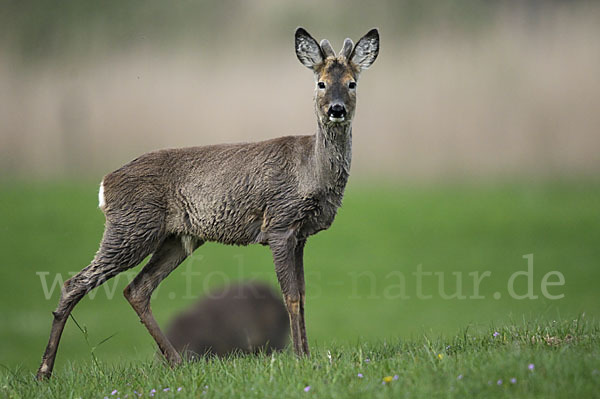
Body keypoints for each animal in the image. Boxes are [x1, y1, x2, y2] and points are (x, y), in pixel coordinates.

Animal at [36, 26, 380, 380]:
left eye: (352, 83)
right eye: (321, 82)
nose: (336, 109)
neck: (311, 170)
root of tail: (105, 185)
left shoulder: (300, 234)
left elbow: (302, 293)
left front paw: (307, 355)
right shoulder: (280, 223)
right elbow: (291, 294)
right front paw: (299, 358)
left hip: (176, 238)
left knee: (137, 289)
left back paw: (176, 361)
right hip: (131, 228)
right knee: (74, 283)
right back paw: (44, 371)